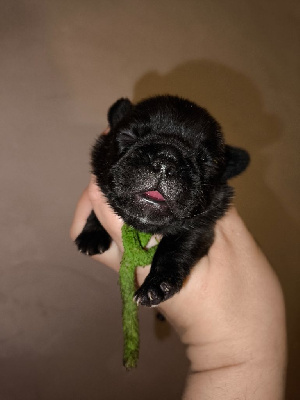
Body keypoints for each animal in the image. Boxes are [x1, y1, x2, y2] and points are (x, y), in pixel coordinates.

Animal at [75, 96, 248, 306]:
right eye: (128, 136)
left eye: (206, 161)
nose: (166, 161)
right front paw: (92, 232)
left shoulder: (202, 226)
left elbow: (177, 247)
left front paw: (156, 284)